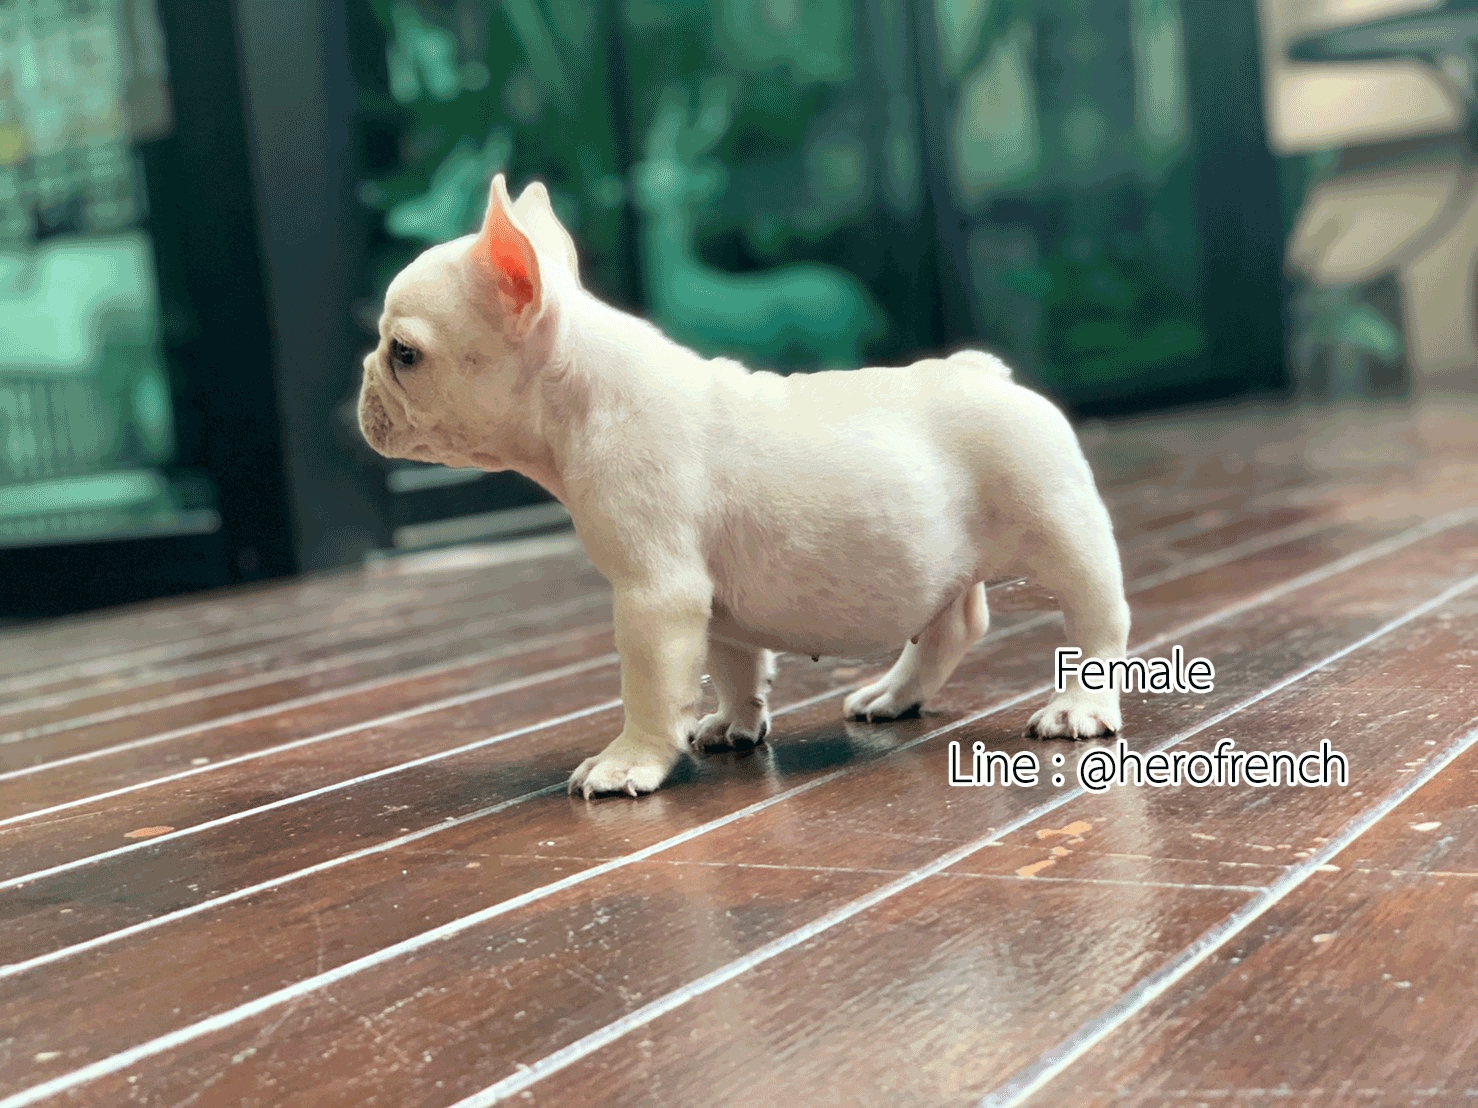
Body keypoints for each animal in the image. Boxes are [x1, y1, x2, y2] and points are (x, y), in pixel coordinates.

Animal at [358, 174, 1131, 798]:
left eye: (405, 354)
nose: (363, 384)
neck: (583, 395)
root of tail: (985, 370)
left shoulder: (656, 593)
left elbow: (651, 685)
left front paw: (628, 762)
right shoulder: (710, 601)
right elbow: (731, 664)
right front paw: (734, 723)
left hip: (1060, 525)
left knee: (1096, 617)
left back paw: (1078, 709)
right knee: (954, 624)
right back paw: (892, 694)